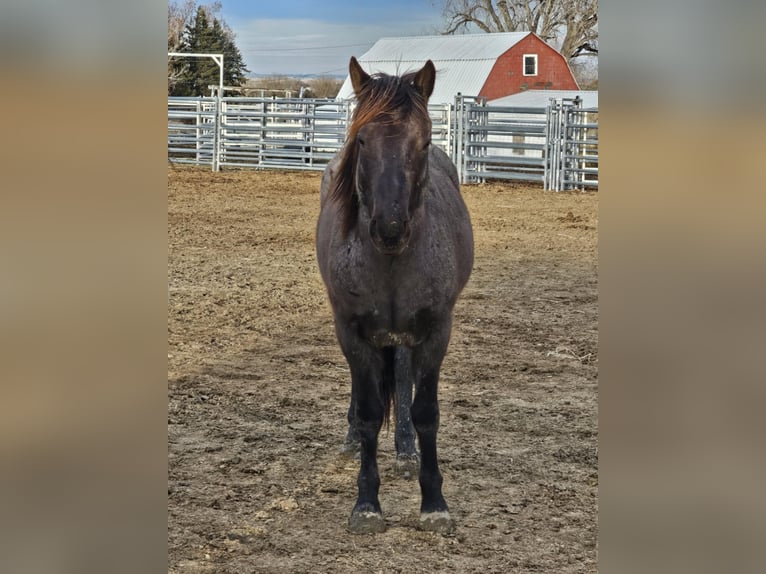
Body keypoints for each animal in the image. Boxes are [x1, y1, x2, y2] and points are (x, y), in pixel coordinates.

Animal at [316, 57, 474, 536]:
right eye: (362, 139)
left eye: (423, 141)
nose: (389, 228)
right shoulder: (352, 331)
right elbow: (369, 412)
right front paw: (366, 504)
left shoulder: (435, 332)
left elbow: (426, 412)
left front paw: (434, 502)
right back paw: (352, 440)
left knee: (403, 380)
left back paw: (405, 450)